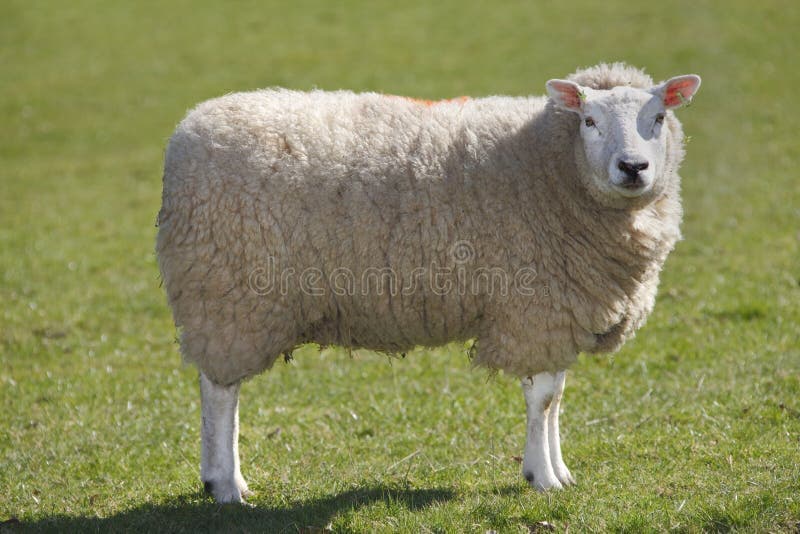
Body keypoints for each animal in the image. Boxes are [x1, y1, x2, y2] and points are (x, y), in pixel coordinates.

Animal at [156, 62, 701, 503]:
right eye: (589, 121)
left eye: (657, 119)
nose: (633, 167)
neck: (548, 167)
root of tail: (186, 132)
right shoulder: (534, 306)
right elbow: (543, 399)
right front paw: (543, 478)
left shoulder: (559, 311)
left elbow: (556, 397)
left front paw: (558, 471)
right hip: (228, 295)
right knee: (221, 392)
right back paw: (227, 485)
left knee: (215, 387)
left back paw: (219, 479)